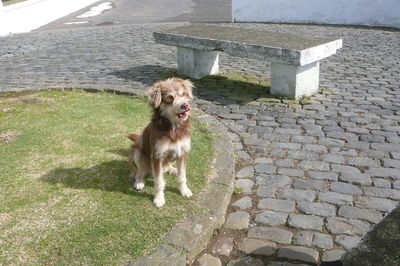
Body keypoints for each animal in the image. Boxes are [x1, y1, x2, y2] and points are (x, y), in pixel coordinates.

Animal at [126, 78, 192, 207]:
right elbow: (159, 181)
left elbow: (182, 176)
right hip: (137, 153)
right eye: (170, 98)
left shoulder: (183, 152)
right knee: (139, 172)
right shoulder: (157, 156)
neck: (173, 127)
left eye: (183, 94)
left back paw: (173, 170)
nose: (185, 106)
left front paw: (184, 190)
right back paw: (139, 182)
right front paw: (159, 198)